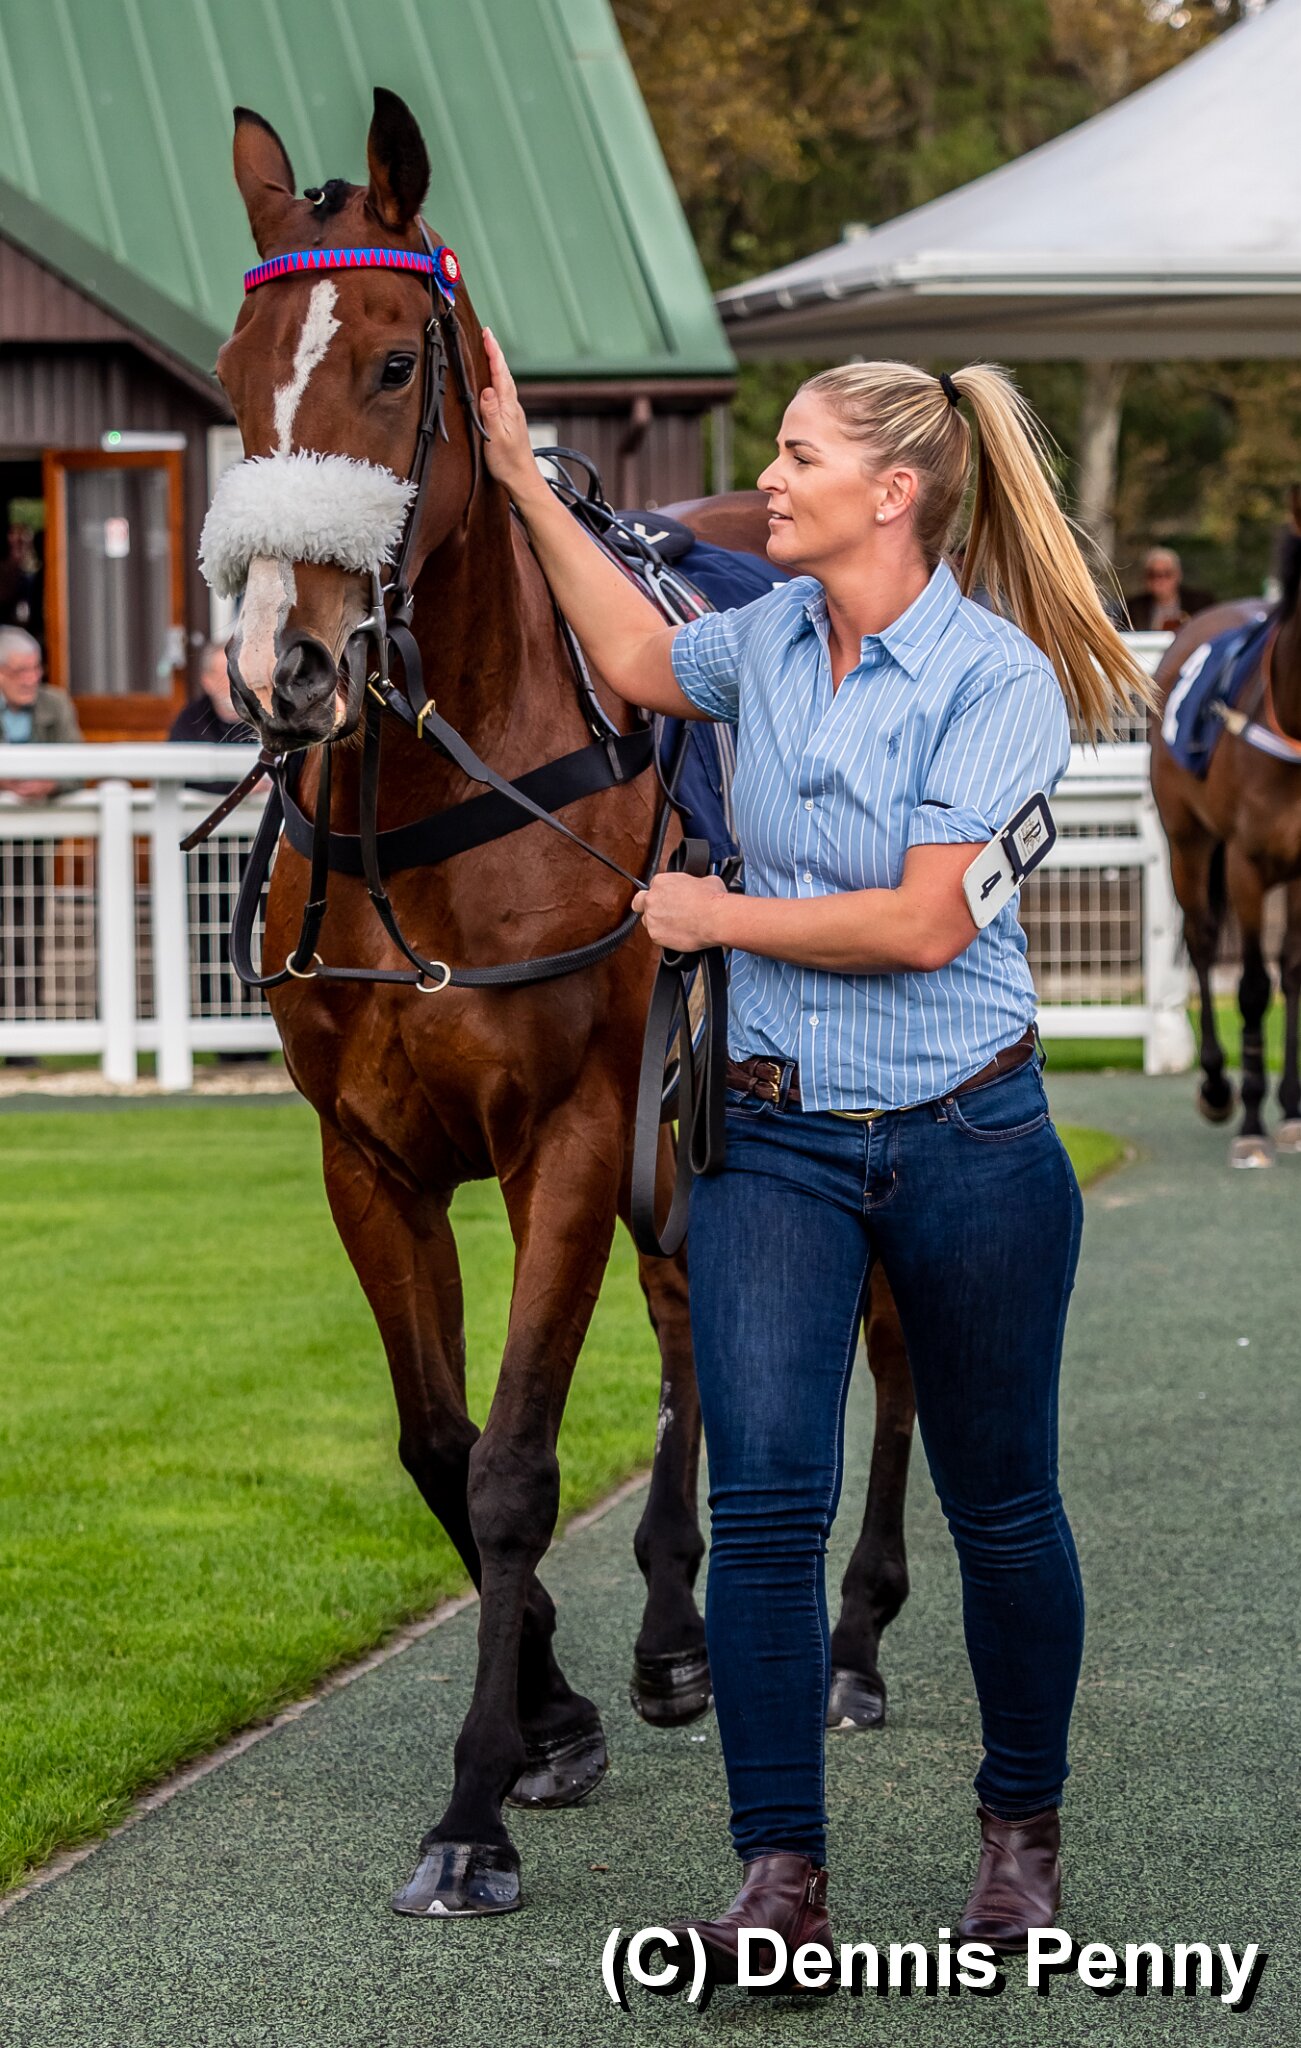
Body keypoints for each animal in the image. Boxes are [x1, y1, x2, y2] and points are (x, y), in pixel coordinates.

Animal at [207, 89, 913, 1920]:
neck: (433, 802)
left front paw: (474, 1803)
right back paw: (674, 1629)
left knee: (892, 1330)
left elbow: (518, 1461)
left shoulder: (572, 1134)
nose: (283, 667)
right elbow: (438, 1448)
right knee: (689, 1322)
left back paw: (855, 1632)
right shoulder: (368, 1156)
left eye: (394, 364)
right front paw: (556, 1712)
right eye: (235, 375)